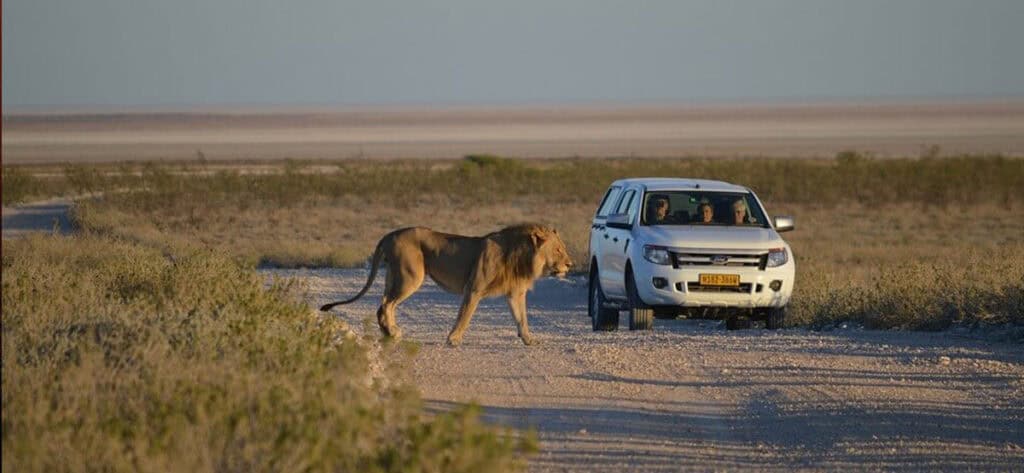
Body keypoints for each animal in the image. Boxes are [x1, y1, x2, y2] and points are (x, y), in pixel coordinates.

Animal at [319, 223, 573, 346]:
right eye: (558, 250)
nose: (570, 264)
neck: (521, 255)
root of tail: (389, 235)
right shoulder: (474, 287)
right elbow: (464, 316)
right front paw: (453, 339)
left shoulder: (515, 293)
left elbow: (522, 319)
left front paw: (529, 340)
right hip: (411, 276)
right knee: (386, 305)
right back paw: (391, 332)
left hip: (395, 275)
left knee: (383, 304)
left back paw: (390, 331)